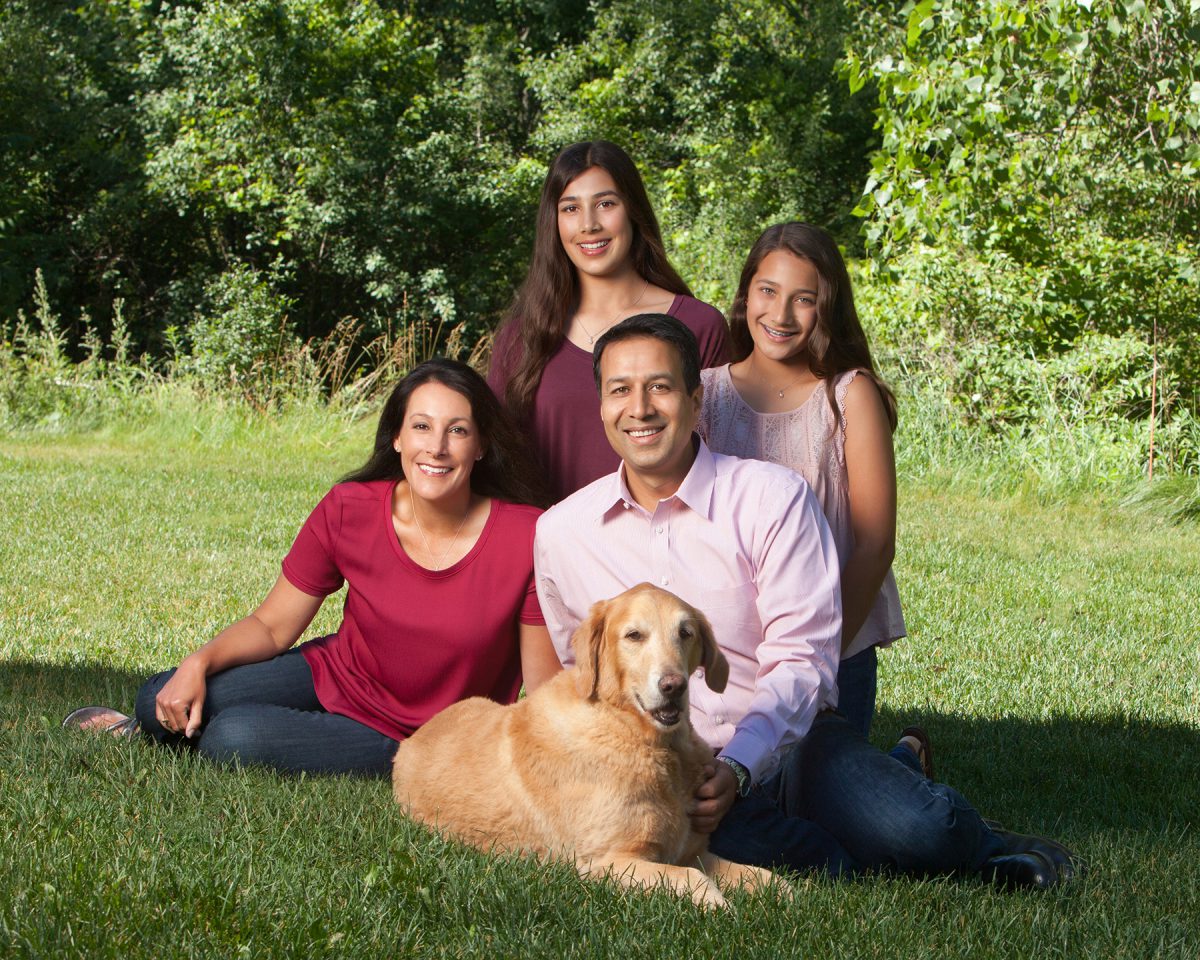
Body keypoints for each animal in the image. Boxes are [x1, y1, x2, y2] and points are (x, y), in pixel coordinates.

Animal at [396, 580, 787, 902]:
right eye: (634, 635)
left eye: (686, 633)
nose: (674, 686)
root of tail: (409, 741)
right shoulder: (606, 862)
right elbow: (693, 879)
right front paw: (723, 907)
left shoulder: (694, 852)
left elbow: (767, 878)